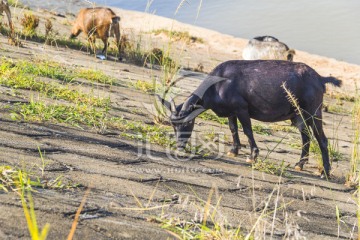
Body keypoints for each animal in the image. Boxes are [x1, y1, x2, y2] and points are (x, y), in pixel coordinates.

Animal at [159, 60, 342, 178]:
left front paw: (252, 156)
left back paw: (325, 172)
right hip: (298, 116)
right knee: (306, 137)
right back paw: (299, 164)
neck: (218, 84)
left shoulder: (241, 108)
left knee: (322, 139)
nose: (180, 145)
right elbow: (233, 129)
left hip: (313, 111)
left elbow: (247, 130)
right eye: (173, 125)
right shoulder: (231, 111)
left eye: (188, 122)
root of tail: (320, 78)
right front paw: (233, 151)